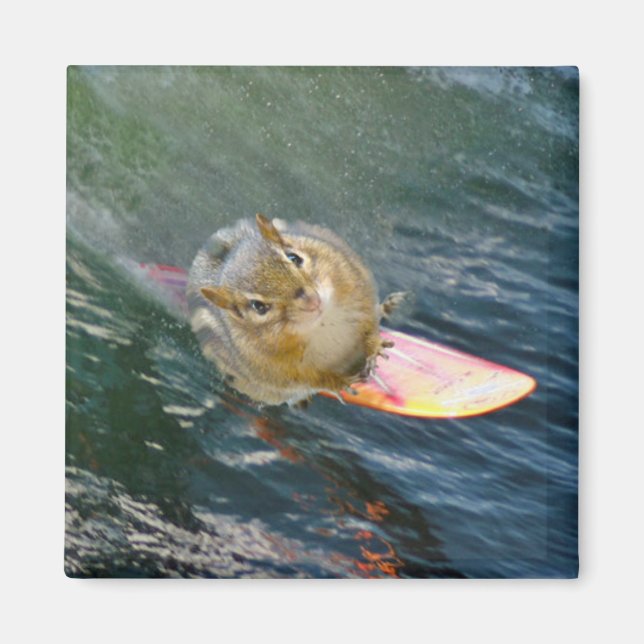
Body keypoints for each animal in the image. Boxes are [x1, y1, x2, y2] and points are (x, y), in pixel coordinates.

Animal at [187, 214, 406, 406]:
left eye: (294, 258)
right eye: (258, 306)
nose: (311, 300)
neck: (322, 323)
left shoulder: (356, 283)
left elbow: (368, 321)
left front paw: (374, 345)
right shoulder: (273, 368)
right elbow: (307, 380)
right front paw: (337, 383)